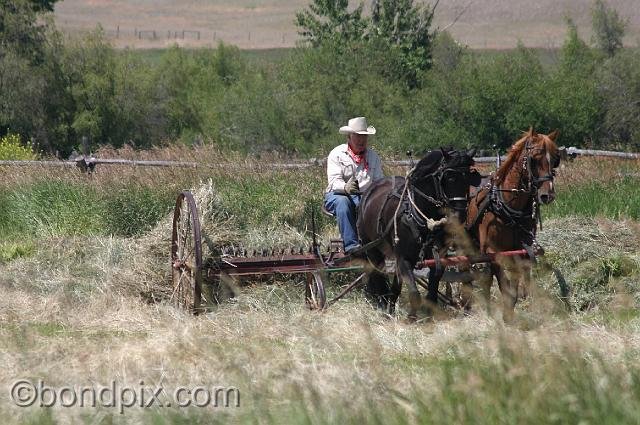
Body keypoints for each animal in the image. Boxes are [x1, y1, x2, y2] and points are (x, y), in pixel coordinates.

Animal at [356, 147, 480, 320]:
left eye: (469, 177)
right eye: (449, 177)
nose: (460, 214)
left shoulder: (437, 257)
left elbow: (432, 290)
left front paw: (429, 315)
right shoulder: (405, 258)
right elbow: (414, 293)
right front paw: (411, 318)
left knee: (395, 283)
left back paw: (390, 306)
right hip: (372, 249)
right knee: (377, 276)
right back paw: (382, 305)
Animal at [464, 129, 560, 322]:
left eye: (555, 159)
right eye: (534, 158)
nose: (547, 195)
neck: (508, 206)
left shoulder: (521, 250)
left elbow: (514, 285)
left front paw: (509, 313)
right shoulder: (492, 251)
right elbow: (503, 283)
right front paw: (505, 314)